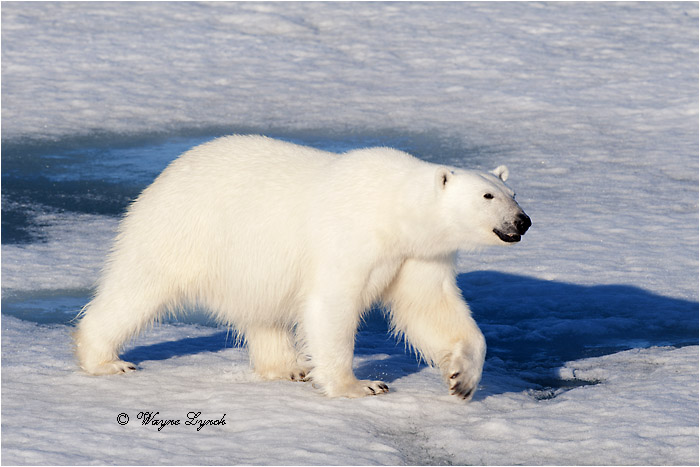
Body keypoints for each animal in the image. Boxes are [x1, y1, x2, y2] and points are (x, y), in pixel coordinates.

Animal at [73, 135, 531, 400]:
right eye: (488, 196)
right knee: (138, 288)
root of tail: (167, 172)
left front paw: (462, 379)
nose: (522, 221)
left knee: (262, 312)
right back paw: (106, 360)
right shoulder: (352, 237)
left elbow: (432, 308)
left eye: (513, 192)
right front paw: (360, 385)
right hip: (185, 230)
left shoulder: (417, 254)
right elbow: (333, 304)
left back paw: (288, 367)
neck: (395, 209)